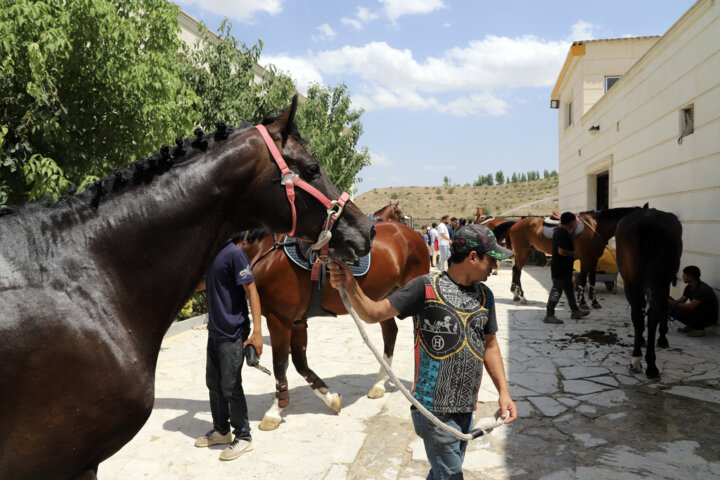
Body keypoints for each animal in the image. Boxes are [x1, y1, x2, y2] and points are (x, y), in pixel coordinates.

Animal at [242, 222, 428, 432]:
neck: (267, 253)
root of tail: (410, 232)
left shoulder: (279, 320)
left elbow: (280, 365)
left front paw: (274, 412)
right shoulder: (297, 322)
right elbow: (301, 364)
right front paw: (330, 398)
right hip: (384, 297)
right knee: (390, 332)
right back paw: (380, 383)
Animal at [504, 207, 640, 308]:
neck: (595, 227)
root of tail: (515, 224)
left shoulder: (594, 258)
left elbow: (592, 279)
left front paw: (594, 301)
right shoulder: (585, 258)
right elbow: (584, 279)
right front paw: (583, 302)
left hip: (526, 252)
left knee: (516, 270)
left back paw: (516, 294)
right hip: (522, 252)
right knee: (517, 271)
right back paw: (521, 296)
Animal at [616, 206, 684, 378]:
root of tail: (648, 223)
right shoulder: (663, 284)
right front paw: (662, 337)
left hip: (632, 283)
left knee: (640, 315)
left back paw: (639, 360)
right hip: (653, 282)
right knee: (650, 314)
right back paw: (648, 363)